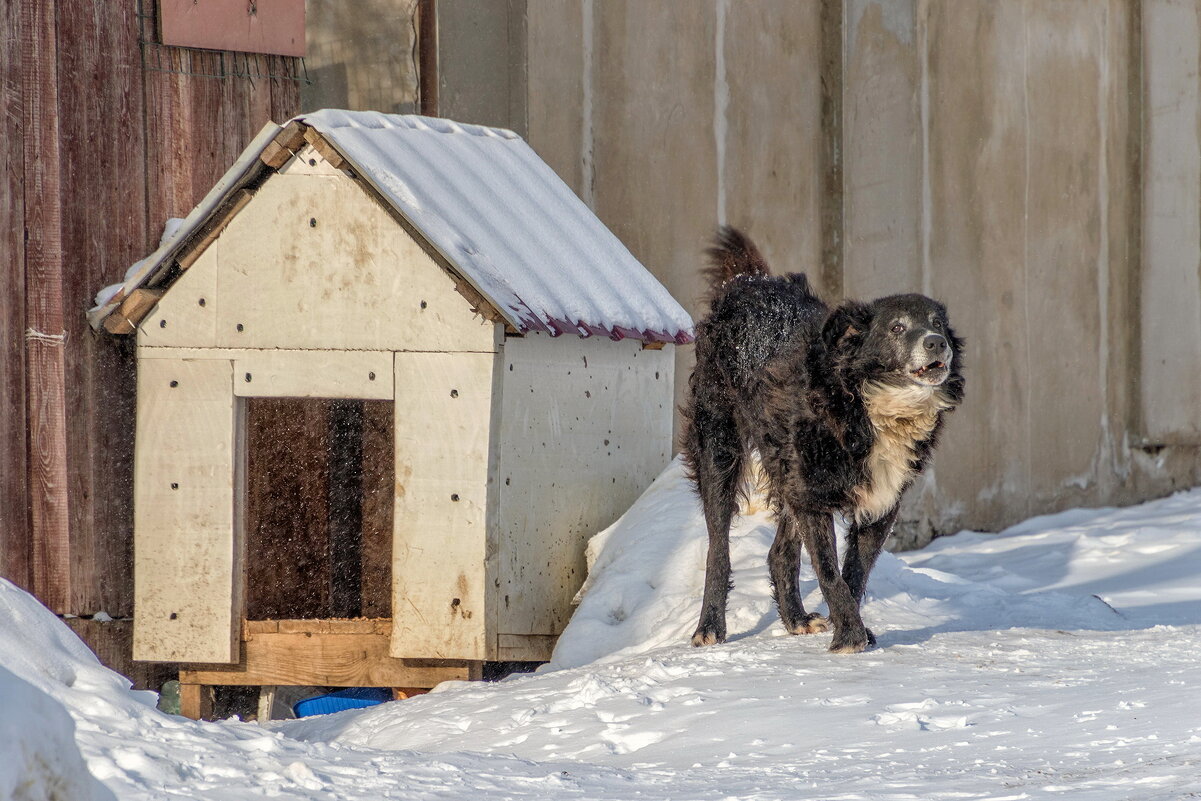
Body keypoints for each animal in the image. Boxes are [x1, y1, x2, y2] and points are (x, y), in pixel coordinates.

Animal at [682, 228, 960, 653]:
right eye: (896, 327)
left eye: (938, 324)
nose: (935, 343)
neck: (864, 401)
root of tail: (748, 282)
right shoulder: (813, 499)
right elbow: (830, 572)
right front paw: (849, 637)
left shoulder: (880, 504)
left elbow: (855, 573)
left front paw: (856, 630)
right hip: (720, 451)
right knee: (719, 549)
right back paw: (710, 626)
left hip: (786, 472)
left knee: (778, 553)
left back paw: (796, 619)